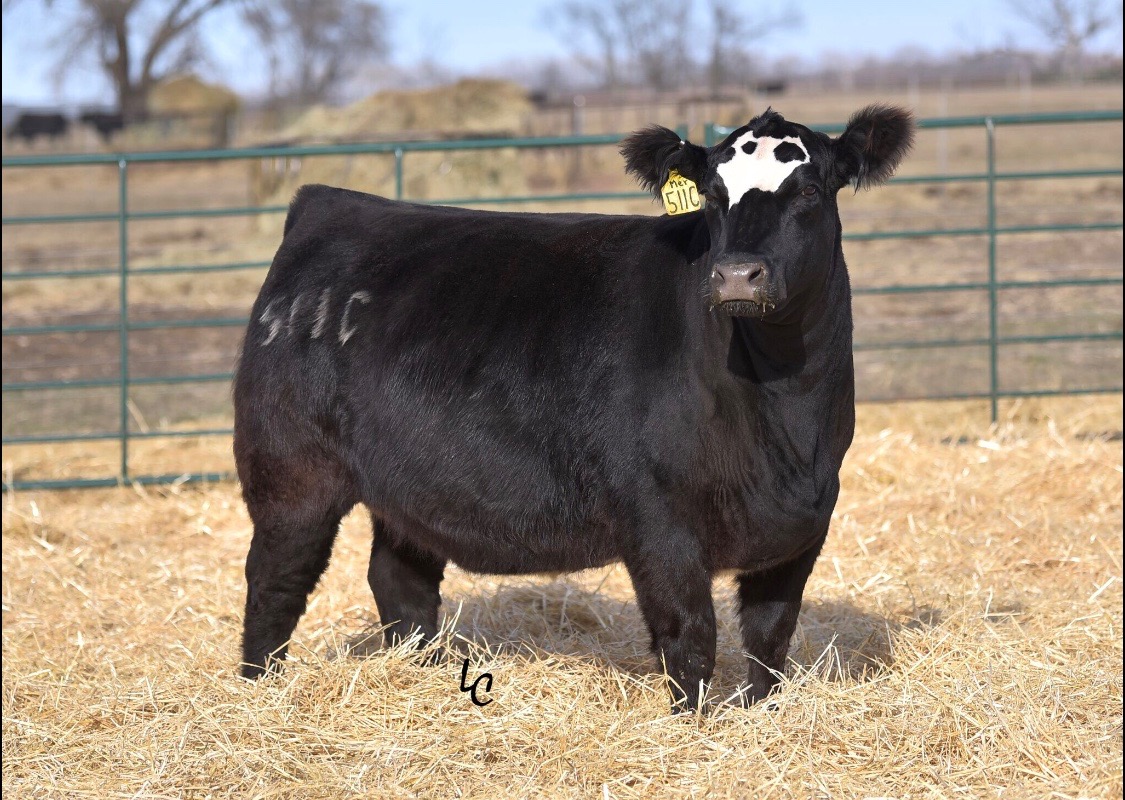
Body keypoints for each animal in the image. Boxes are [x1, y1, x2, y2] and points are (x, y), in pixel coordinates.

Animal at [233, 105, 914, 711]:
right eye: (714, 195)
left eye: (809, 190)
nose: (736, 276)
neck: (786, 421)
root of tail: (328, 203)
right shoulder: (658, 522)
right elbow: (690, 638)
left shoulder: (805, 524)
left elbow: (771, 638)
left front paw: (760, 715)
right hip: (291, 472)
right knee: (276, 579)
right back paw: (258, 689)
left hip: (407, 483)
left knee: (401, 582)